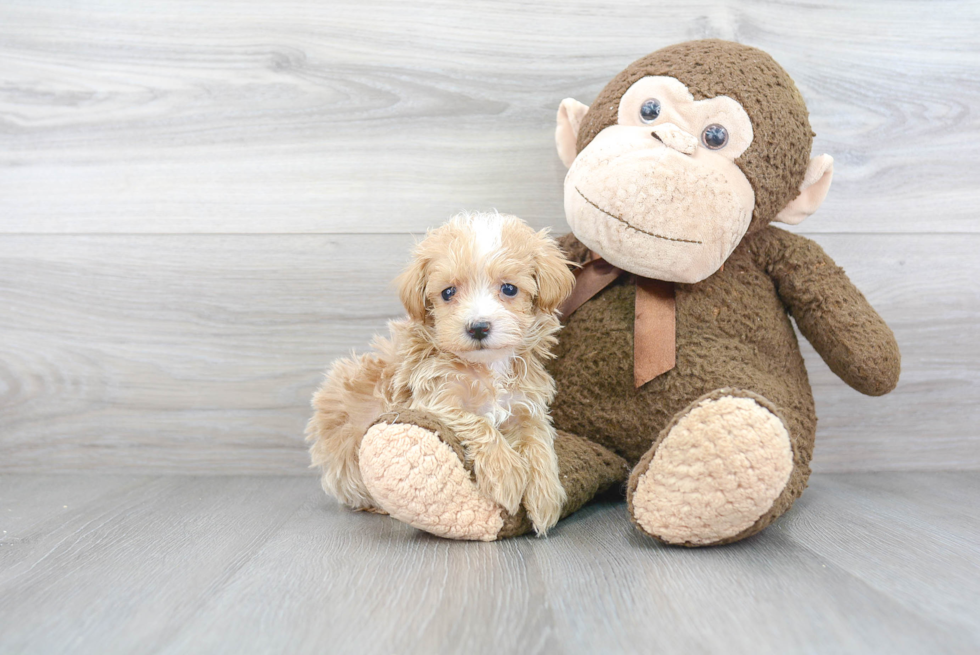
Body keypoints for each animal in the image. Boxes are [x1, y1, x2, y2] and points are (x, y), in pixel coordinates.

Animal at [308, 213, 576, 536]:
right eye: (448, 292)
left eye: (509, 289)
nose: (478, 327)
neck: (487, 366)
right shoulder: (431, 398)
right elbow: (477, 422)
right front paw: (507, 474)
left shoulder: (525, 405)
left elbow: (539, 442)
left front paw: (545, 498)